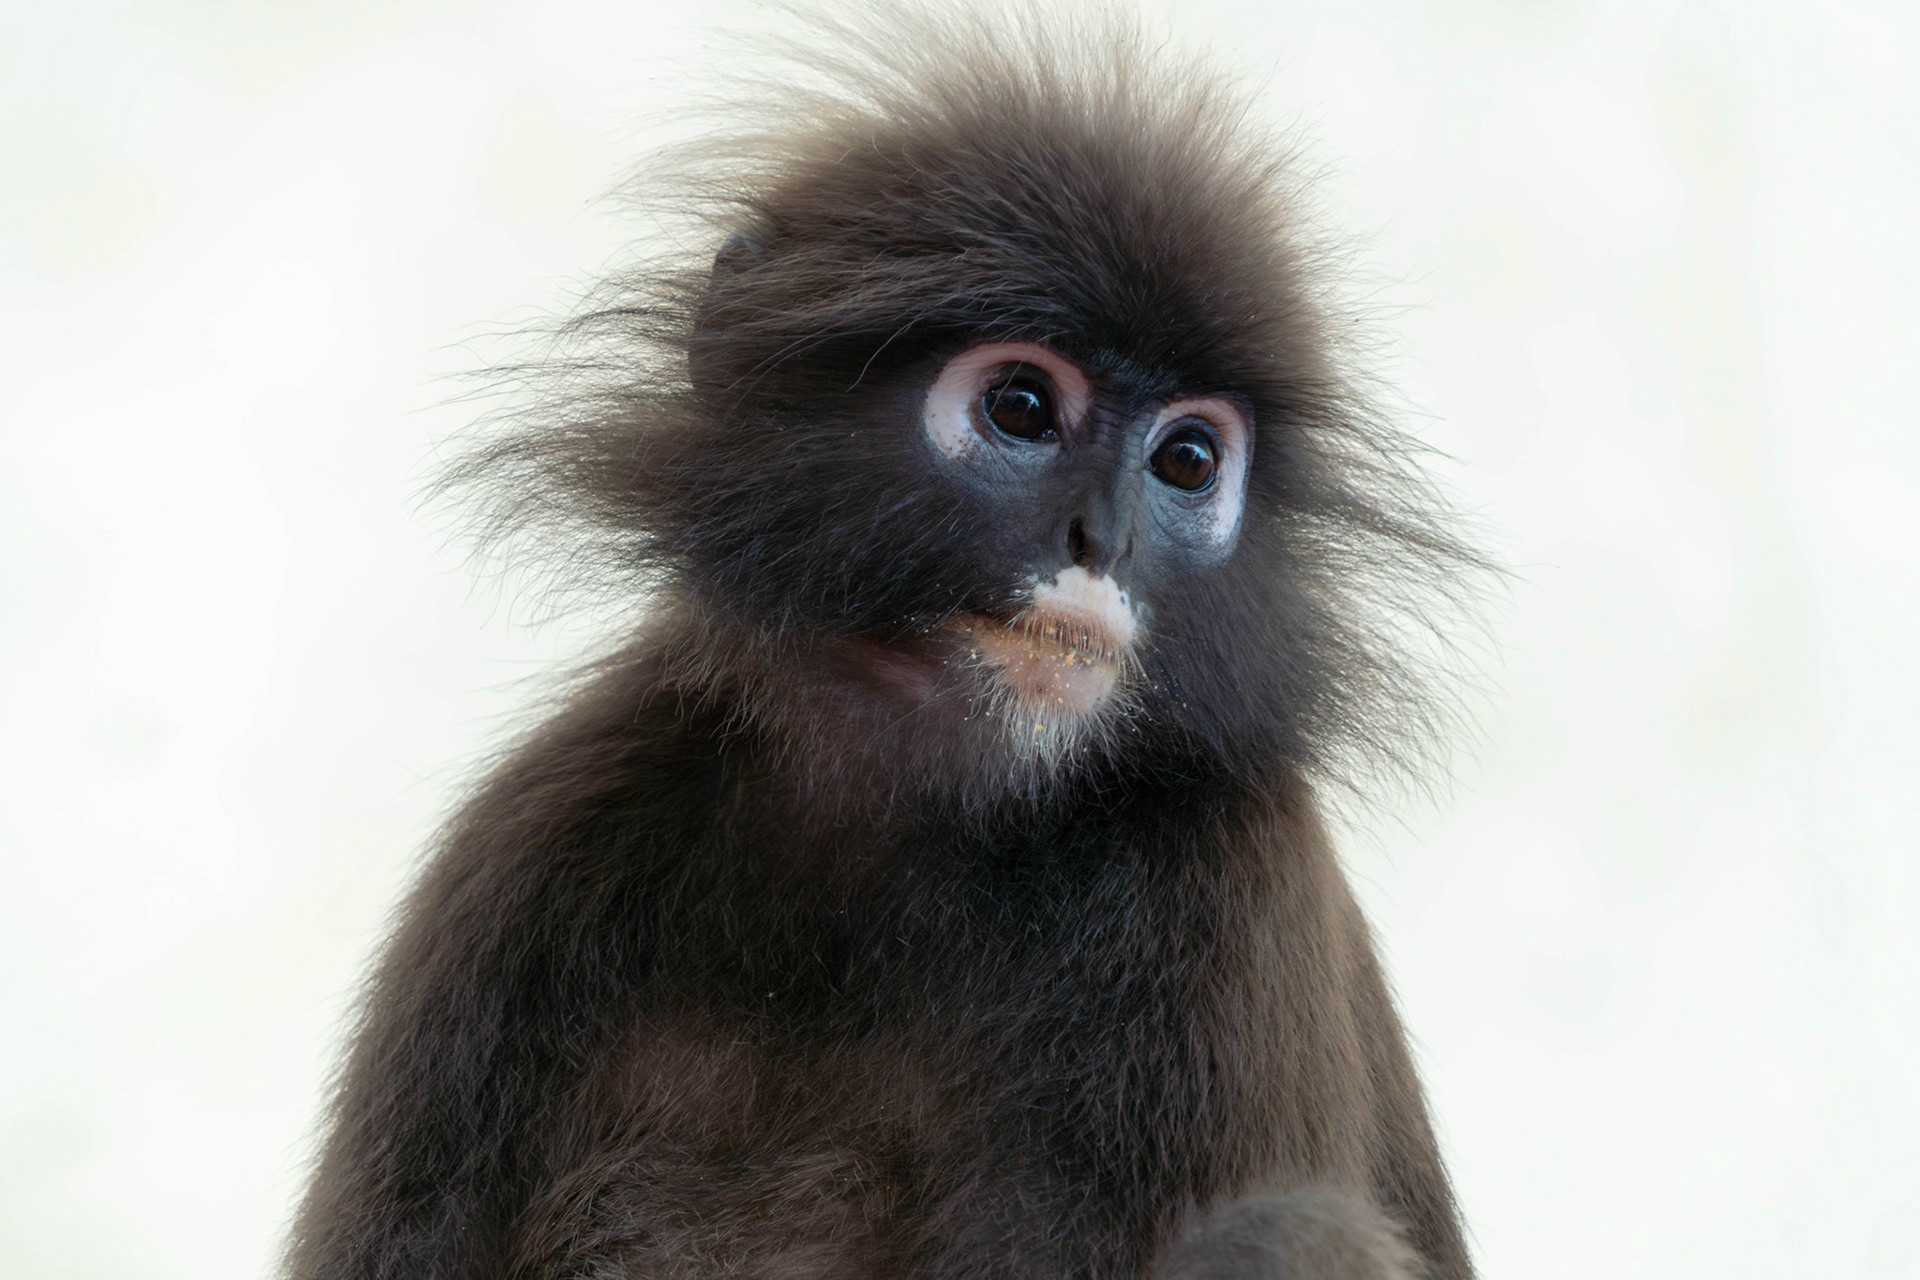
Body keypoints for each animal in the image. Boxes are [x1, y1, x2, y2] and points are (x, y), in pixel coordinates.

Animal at [286, 8, 1482, 1279]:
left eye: (1189, 460)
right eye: (1020, 406)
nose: (1101, 537)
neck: (916, 819)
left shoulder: (1227, 879)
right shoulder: (535, 843)